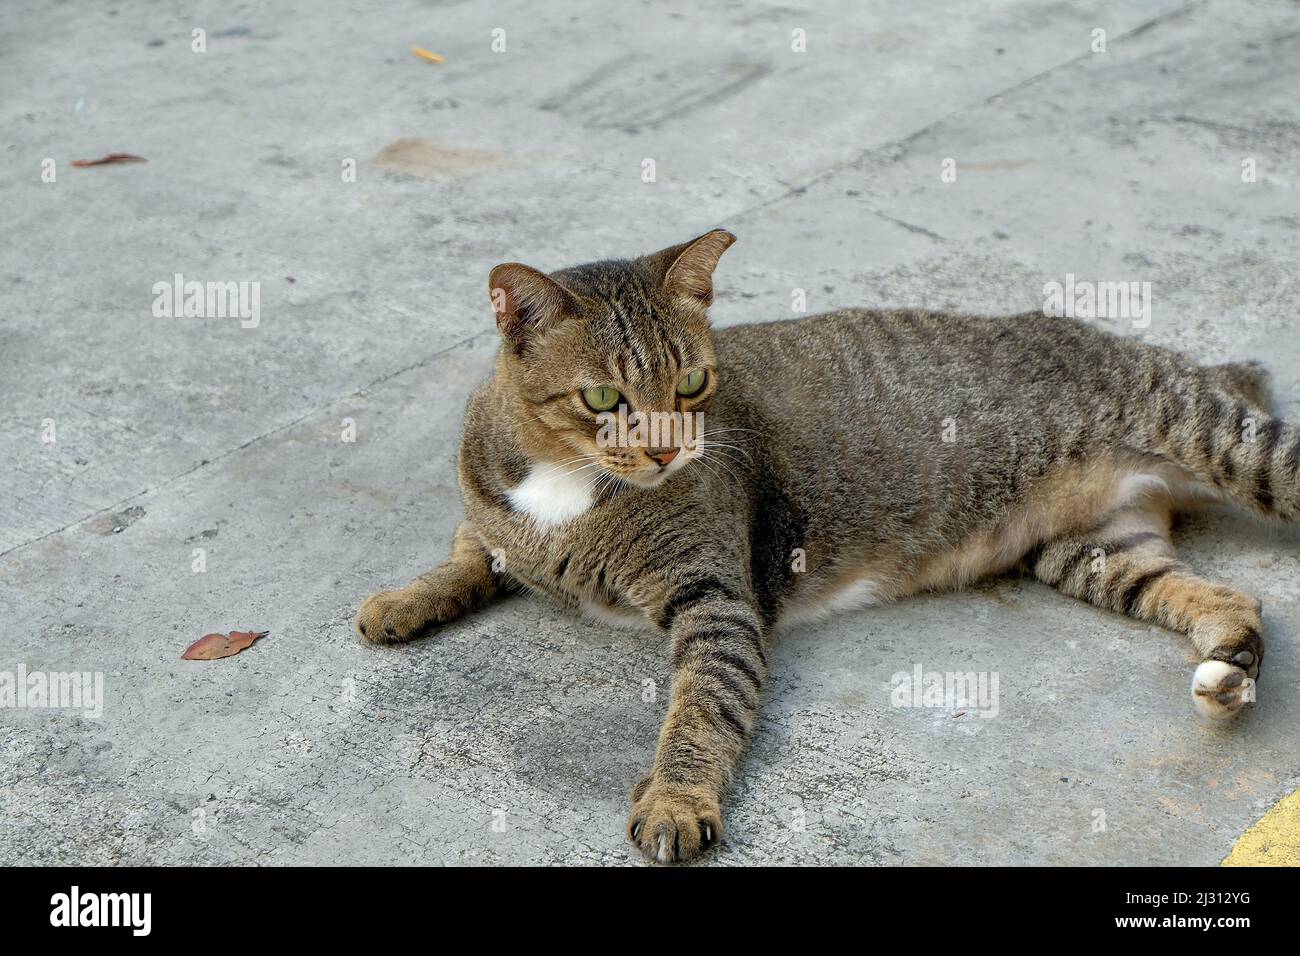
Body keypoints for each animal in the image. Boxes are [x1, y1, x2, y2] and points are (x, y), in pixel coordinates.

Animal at [353, 231, 1289, 868]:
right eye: (603, 399)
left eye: (691, 383)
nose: (666, 453)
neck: (563, 483)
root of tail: (1173, 356)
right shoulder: (495, 512)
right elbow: (470, 549)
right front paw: (402, 601)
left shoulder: (716, 599)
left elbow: (701, 709)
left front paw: (676, 798)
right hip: (1095, 551)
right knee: (1231, 599)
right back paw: (1230, 666)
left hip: (1225, 443)